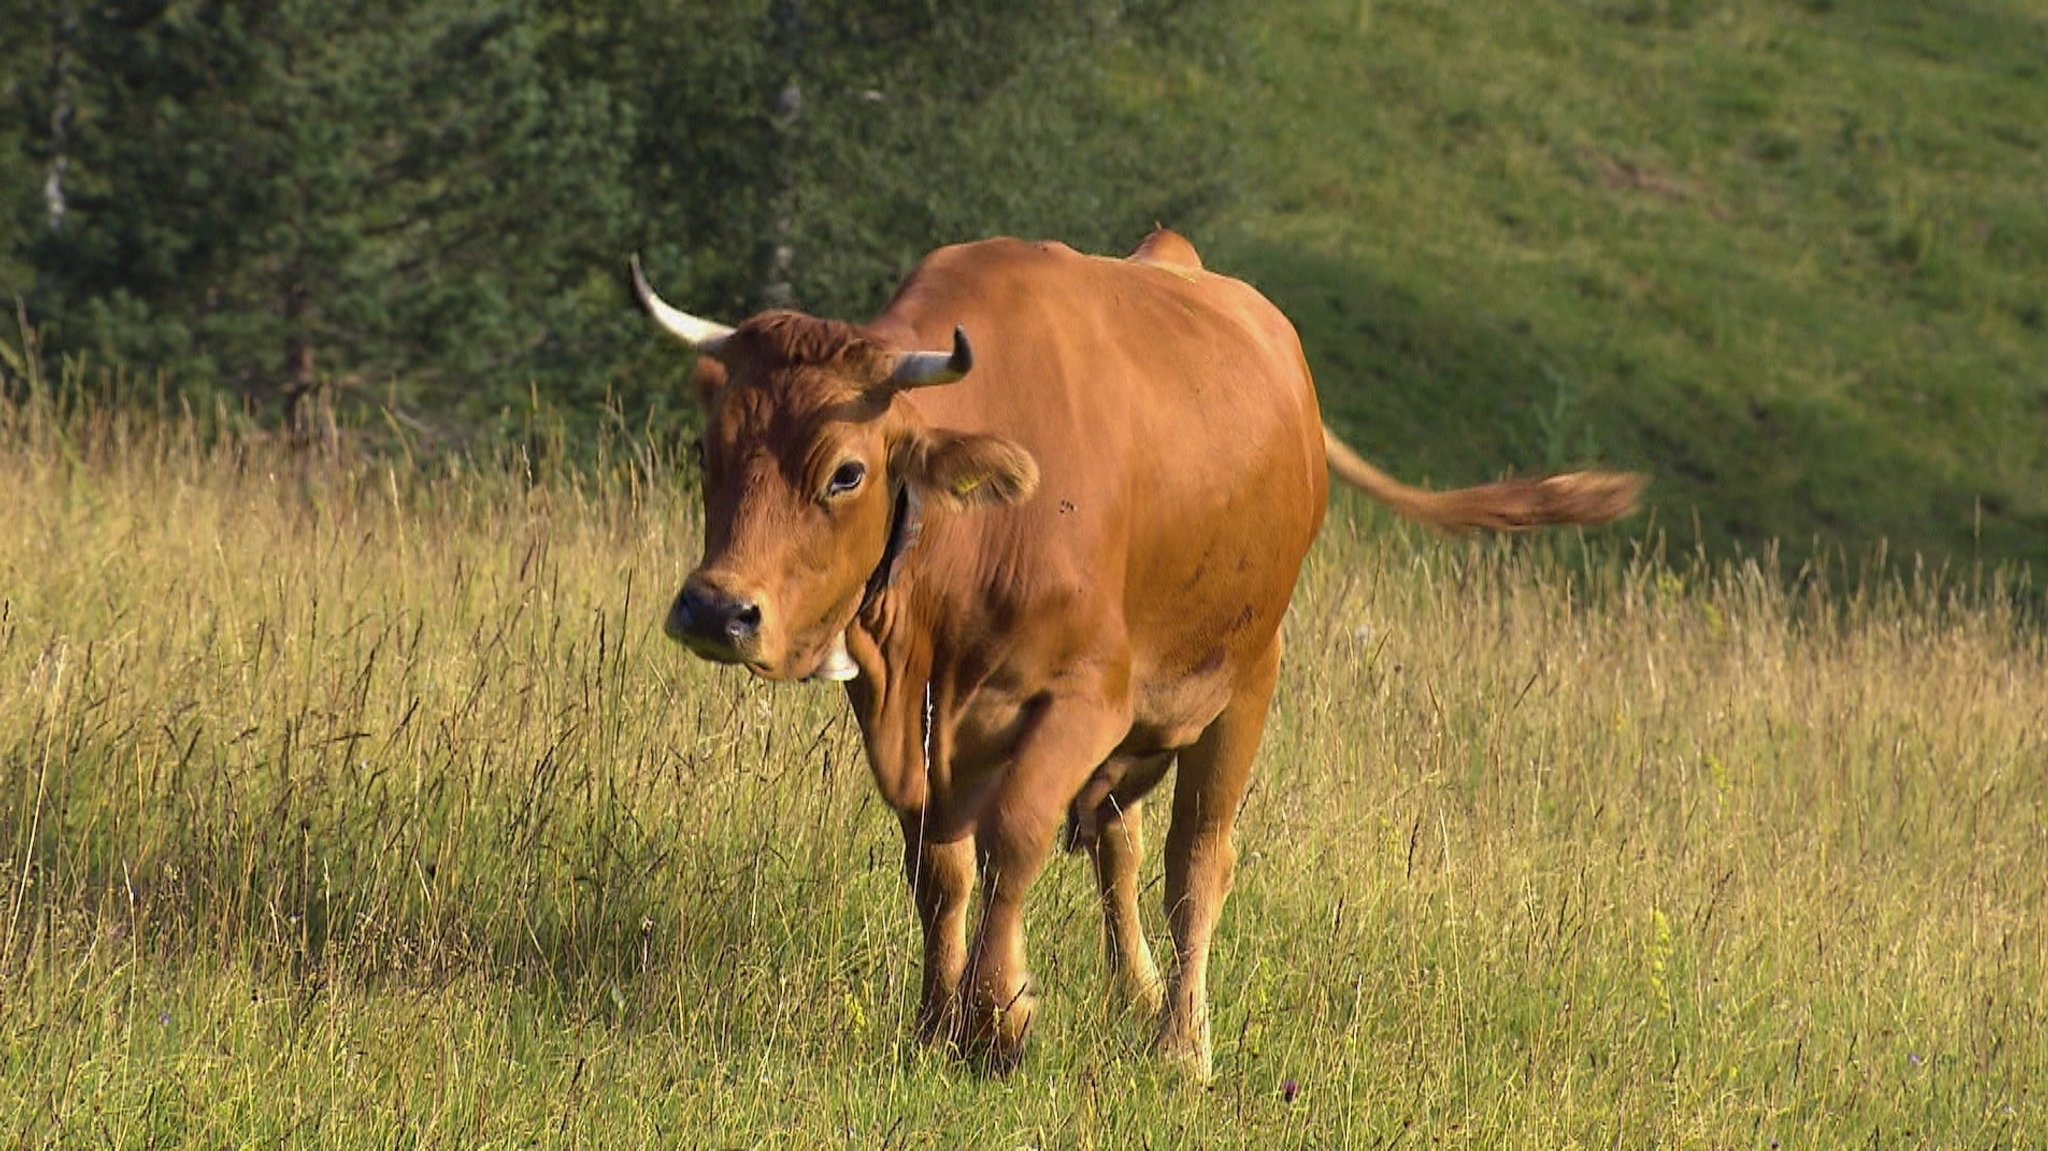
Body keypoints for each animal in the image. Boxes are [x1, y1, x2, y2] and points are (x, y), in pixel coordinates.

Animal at [630, 228, 1638, 1073]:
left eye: (847, 471)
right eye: (710, 449)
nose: (717, 609)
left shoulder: (1087, 698)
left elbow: (1017, 835)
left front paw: (999, 1020)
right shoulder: (925, 725)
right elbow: (941, 866)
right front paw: (934, 1021)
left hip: (1246, 676)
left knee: (1197, 860)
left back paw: (1181, 1042)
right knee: (1120, 844)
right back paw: (1139, 995)